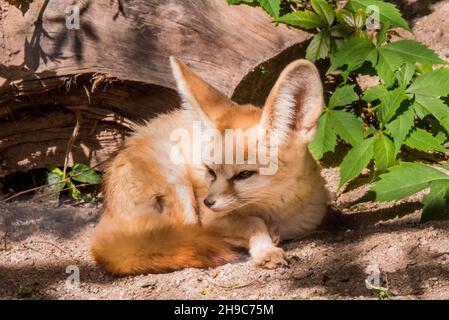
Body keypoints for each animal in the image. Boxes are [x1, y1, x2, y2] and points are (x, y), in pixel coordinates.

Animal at [92, 56, 328, 274]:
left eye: (244, 174)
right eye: (211, 171)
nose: (207, 202)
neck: (275, 211)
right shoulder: (210, 220)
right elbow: (253, 222)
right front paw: (266, 249)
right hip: (176, 179)